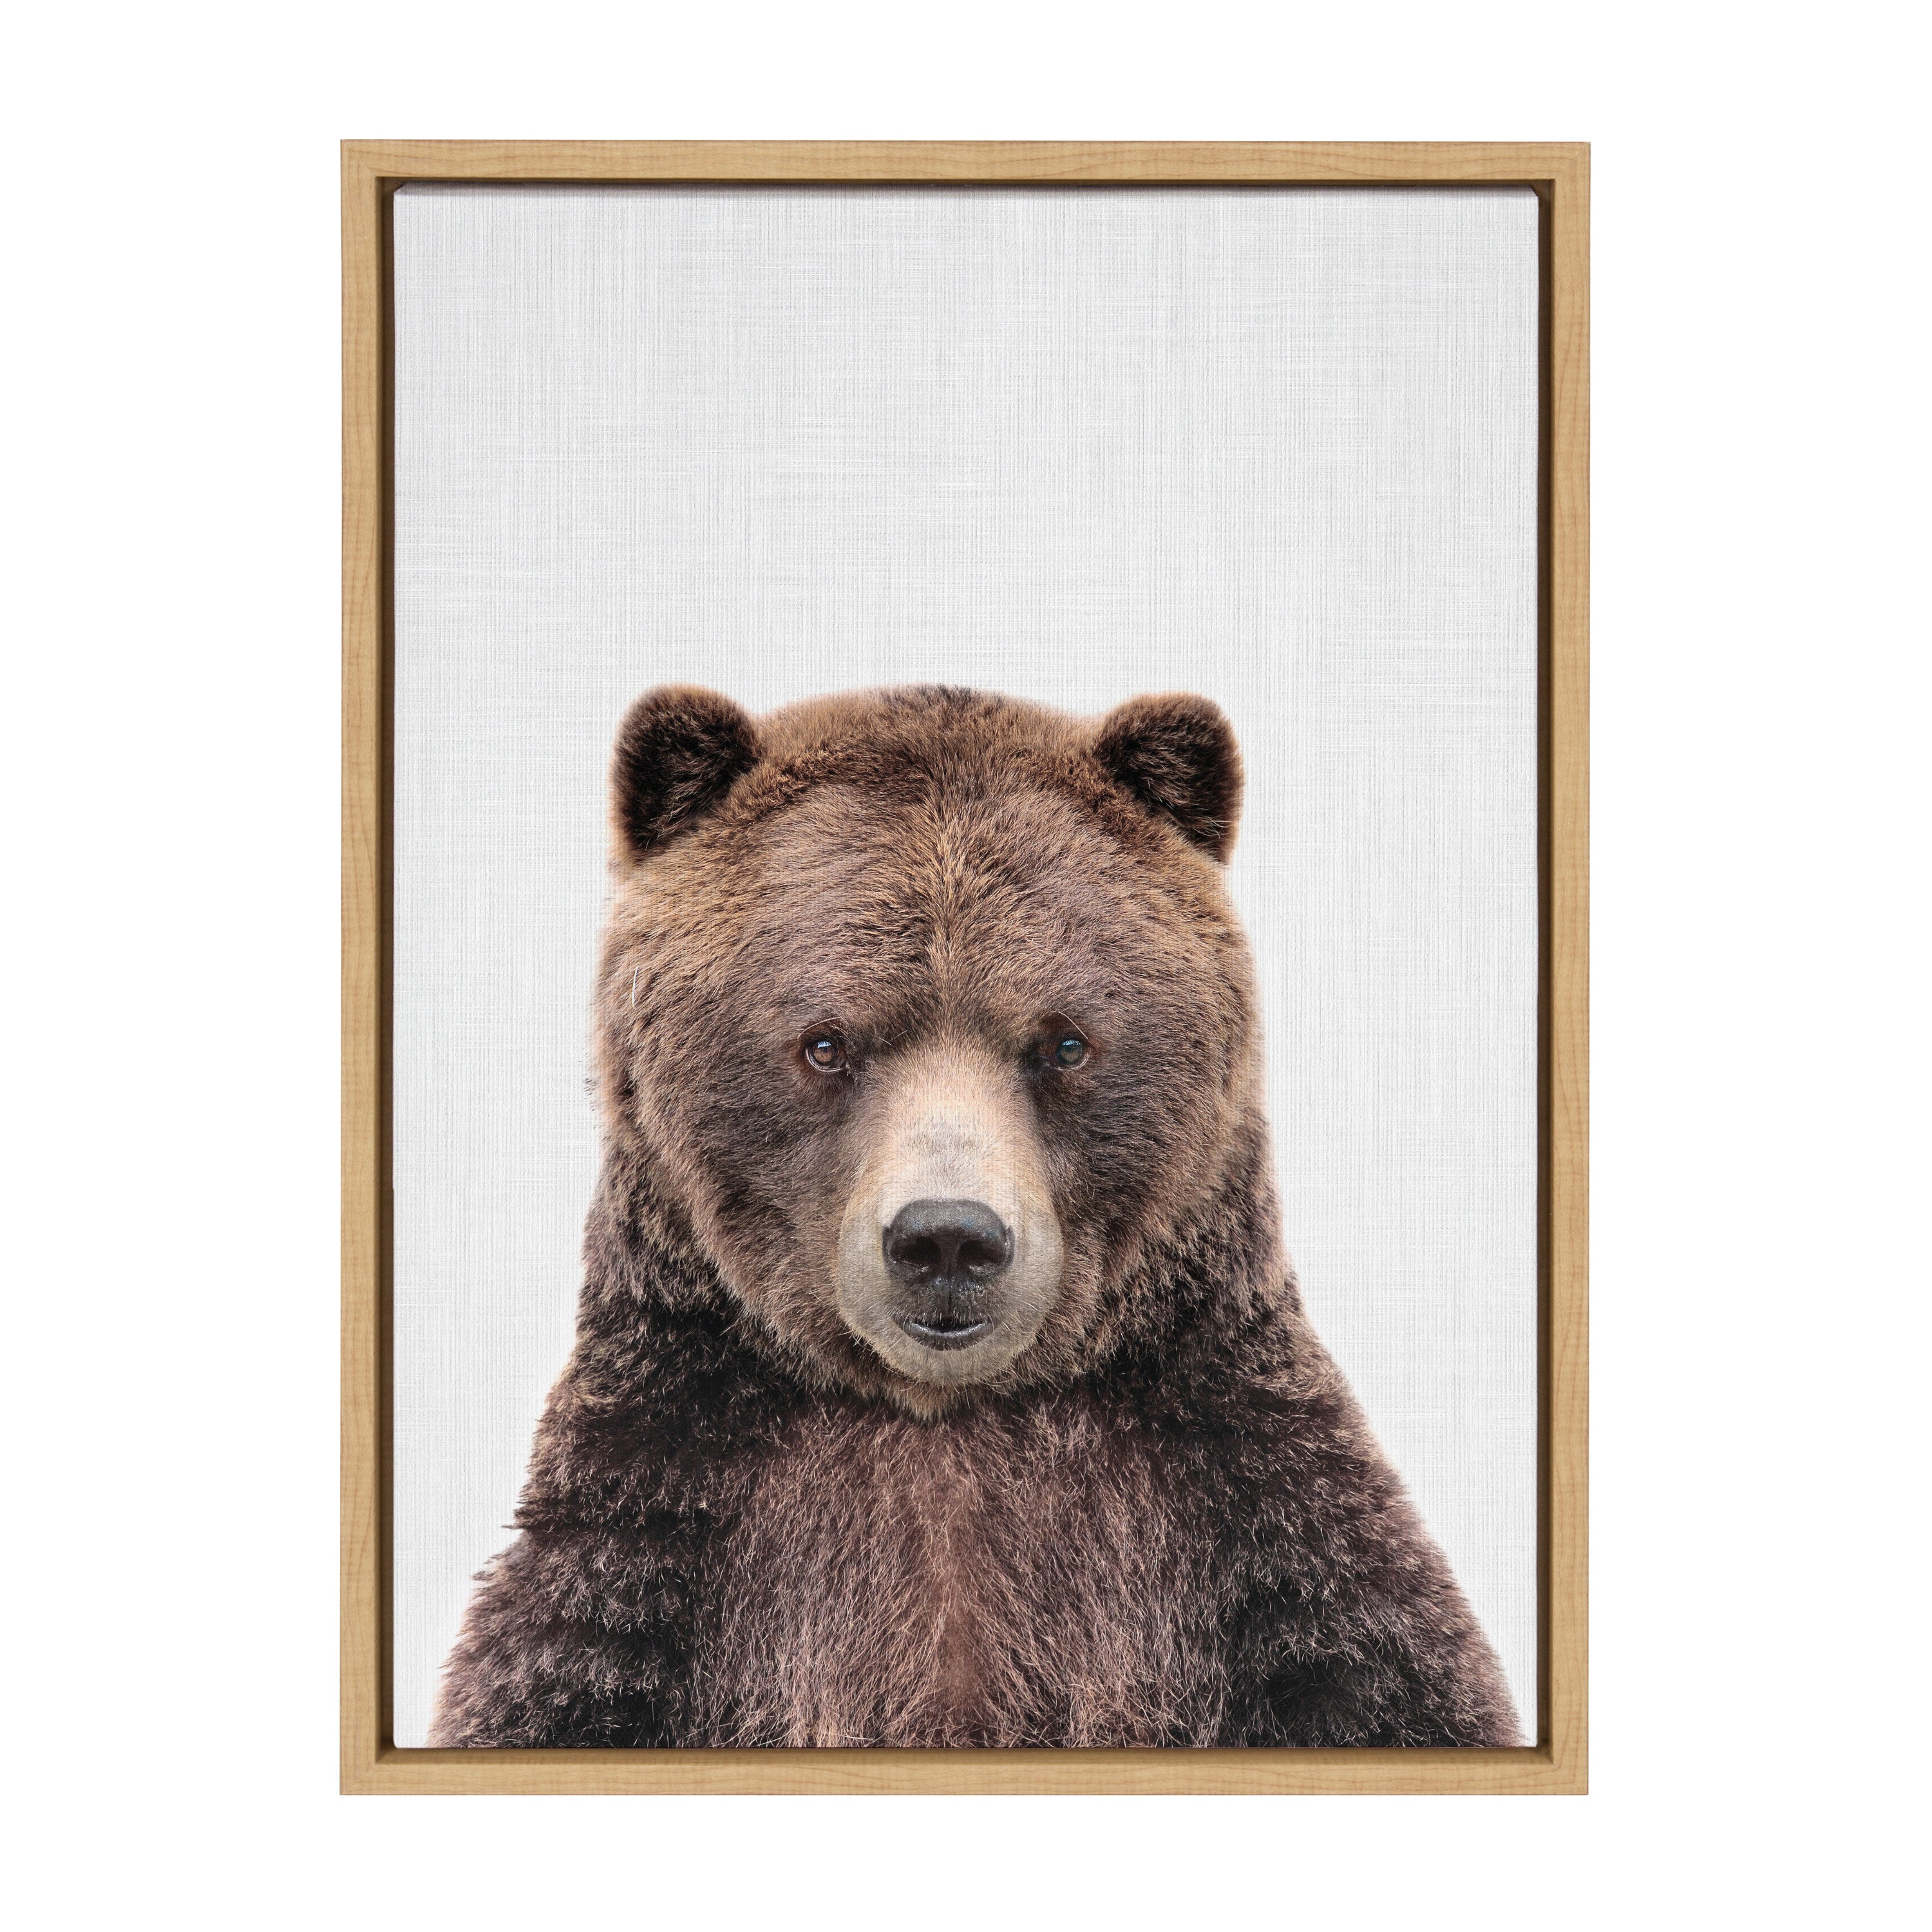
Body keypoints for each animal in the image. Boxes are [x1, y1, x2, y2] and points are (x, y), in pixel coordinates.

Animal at [430, 683, 1520, 1749]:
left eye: (1065, 1042)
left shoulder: (1261, 1534)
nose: (948, 1239)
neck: (944, 1418)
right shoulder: (652, 1545)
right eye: (825, 1042)